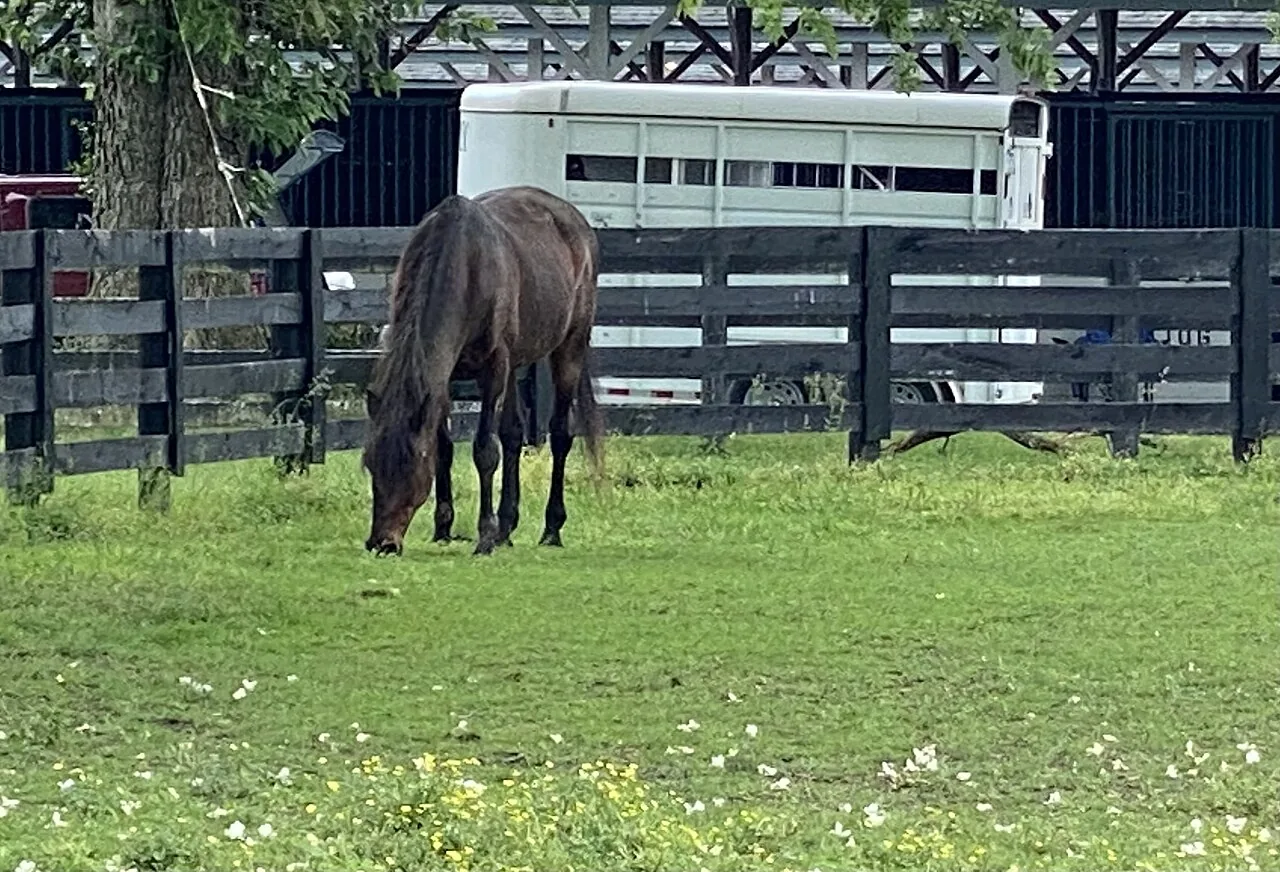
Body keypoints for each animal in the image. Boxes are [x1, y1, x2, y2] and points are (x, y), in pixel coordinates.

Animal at [362, 185, 605, 557]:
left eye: (409, 466)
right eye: (372, 465)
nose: (382, 543)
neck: (465, 267)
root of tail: (575, 220)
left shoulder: (494, 369)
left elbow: (485, 451)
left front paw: (485, 536)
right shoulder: (442, 377)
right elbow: (445, 448)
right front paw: (444, 527)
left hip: (569, 347)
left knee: (561, 433)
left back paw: (551, 528)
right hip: (517, 363)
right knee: (514, 434)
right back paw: (507, 527)